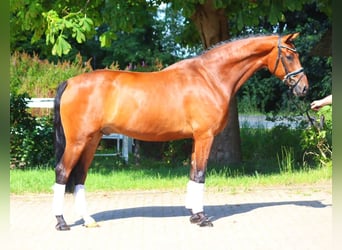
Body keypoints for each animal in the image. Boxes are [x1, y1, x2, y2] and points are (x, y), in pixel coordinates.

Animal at [52, 33, 308, 230]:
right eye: (289, 56)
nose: (304, 88)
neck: (210, 77)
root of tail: (71, 82)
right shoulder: (205, 136)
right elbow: (201, 173)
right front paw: (203, 219)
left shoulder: (197, 138)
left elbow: (193, 173)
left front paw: (194, 215)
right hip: (77, 141)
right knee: (63, 172)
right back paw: (61, 222)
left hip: (92, 140)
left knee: (80, 176)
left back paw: (88, 220)